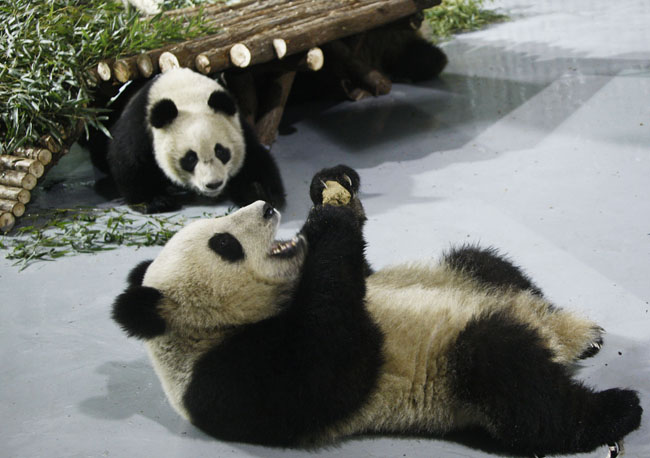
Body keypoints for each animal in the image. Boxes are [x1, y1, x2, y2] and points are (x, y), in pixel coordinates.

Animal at [104, 67, 284, 213]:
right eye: (190, 158)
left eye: (221, 152)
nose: (214, 184)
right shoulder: (140, 122)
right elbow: (130, 161)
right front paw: (155, 201)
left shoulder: (237, 124)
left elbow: (254, 158)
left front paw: (260, 192)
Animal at [111, 165, 636, 454]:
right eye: (223, 244)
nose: (265, 207)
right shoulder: (226, 381)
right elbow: (330, 365)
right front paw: (330, 219)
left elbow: (359, 275)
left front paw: (331, 186)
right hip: (454, 376)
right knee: (515, 384)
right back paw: (615, 408)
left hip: (462, 273)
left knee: (486, 264)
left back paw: (576, 331)